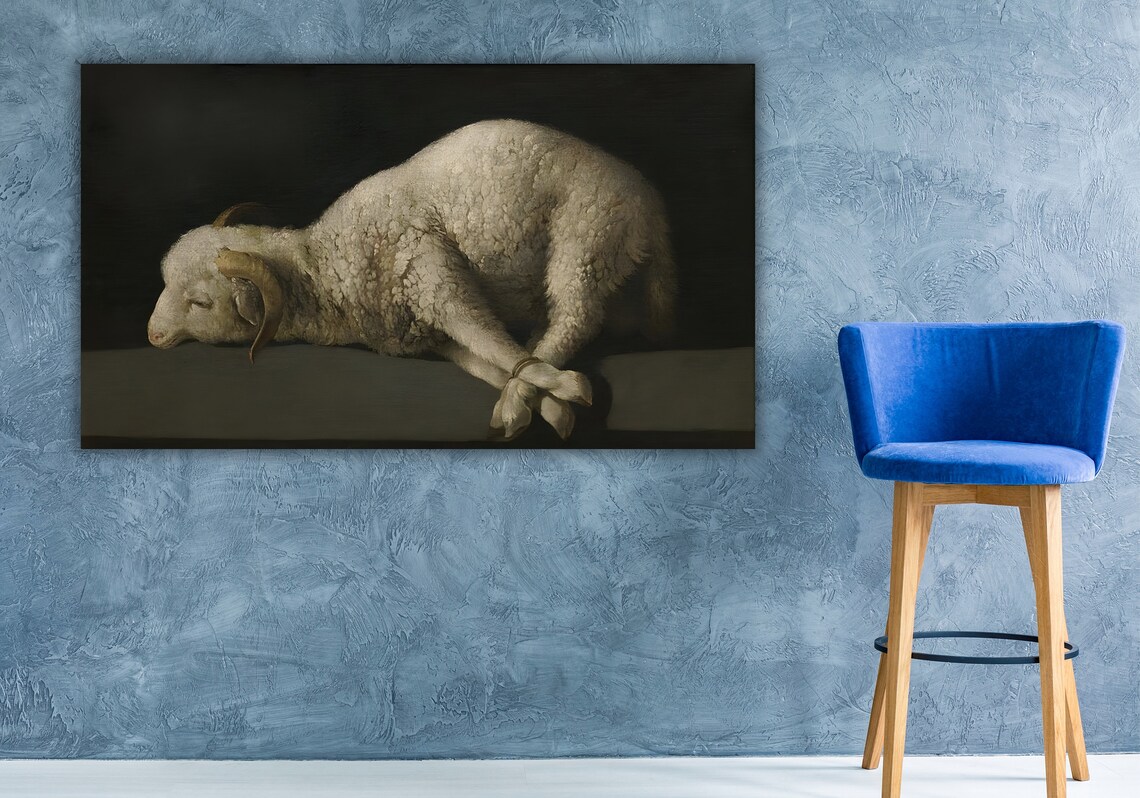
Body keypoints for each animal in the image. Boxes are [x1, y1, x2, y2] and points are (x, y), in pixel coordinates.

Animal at [146, 119, 677, 440]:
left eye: (200, 302)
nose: (151, 335)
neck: (322, 267)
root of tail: (651, 204)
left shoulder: (434, 276)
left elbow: (495, 343)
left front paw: (558, 392)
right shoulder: (431, 337)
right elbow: (487, 363)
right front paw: (545, 406)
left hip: (585, 240)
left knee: (575, 317)